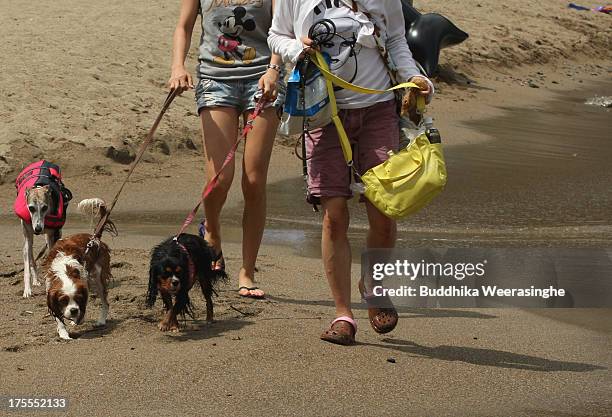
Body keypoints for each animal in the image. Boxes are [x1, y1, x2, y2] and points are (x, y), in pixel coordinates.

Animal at [43, 197, 112, 338]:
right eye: (63, 301)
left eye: (78, 298)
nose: (74, 310)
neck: (65, 269)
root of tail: (95, 238)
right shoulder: (50, 290)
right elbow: (58, 317)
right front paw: (63, 333)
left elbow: (83, 308)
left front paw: (79, 319)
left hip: (99, 278)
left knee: (105, 302)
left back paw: (101, 321)